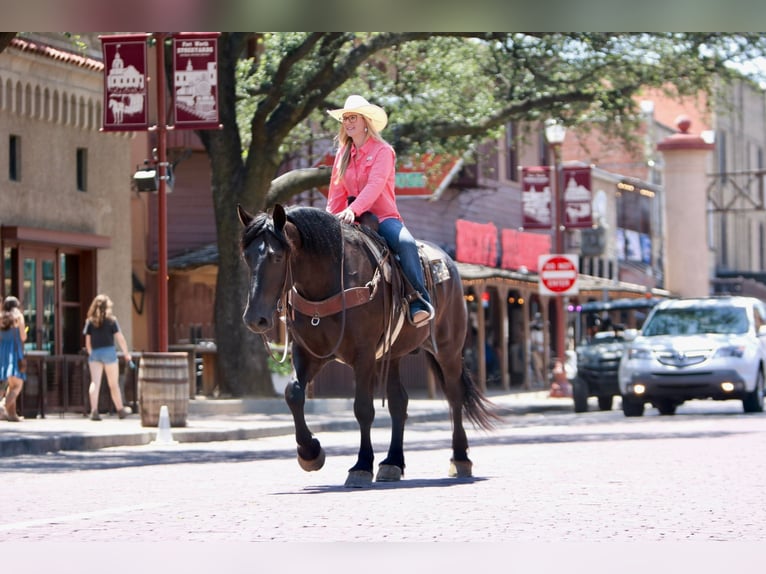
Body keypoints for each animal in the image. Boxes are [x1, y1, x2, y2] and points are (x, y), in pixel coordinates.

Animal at [240, 205, 498, 488]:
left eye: (276, 257)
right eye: (246, 257)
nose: (254, 319)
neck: (331, 282)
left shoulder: (362, 356)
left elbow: (363, 408)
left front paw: (361, 466)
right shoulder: (308, 353)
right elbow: (293, 393)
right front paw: (310, 453)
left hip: (448, 349)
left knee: (454, 397)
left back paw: (460, 459)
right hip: (392, 355)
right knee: (399, 402)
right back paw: (392, 463)